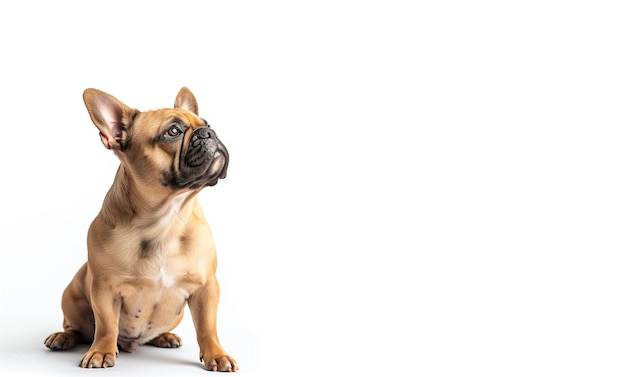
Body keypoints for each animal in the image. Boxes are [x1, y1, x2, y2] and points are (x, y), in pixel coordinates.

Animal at [44, 86, 238, 370]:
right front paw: (101, 351)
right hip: (71, 295)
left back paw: (165, 336)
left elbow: (207, 326)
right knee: (77, 328)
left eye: (208, 124)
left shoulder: (206, 287)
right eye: (173, 131)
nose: (208, 133)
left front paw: (217, 354)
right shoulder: (104, 289)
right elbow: (106, 325)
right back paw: (63, 337)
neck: (165, 219)